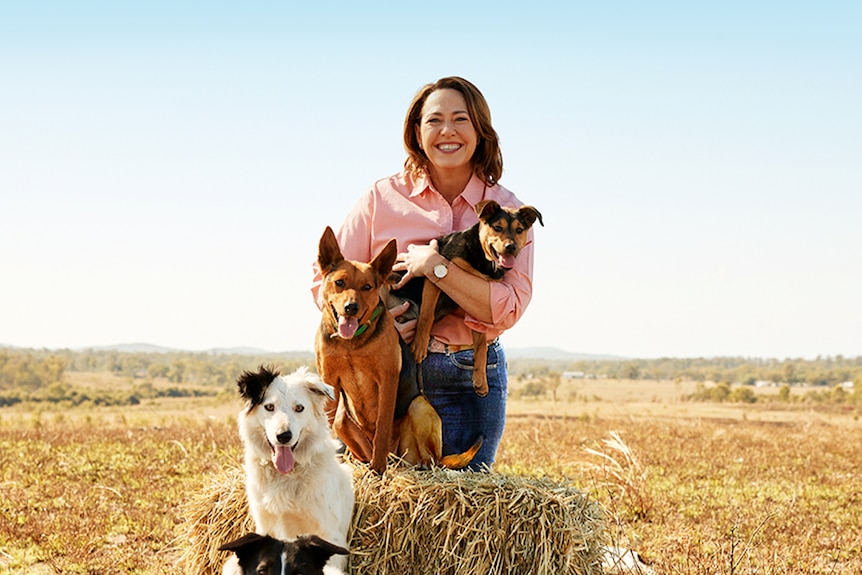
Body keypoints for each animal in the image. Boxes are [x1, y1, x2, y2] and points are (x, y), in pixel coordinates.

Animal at [233, 366, 354, 572]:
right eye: (269, 407)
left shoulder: (329, 534)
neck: (287, 476)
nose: (284, 436)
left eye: (299, 408)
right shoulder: (266, 525)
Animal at [316, 227, 482, 474]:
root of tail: (397, 459)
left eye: (367, 287)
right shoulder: (329, 381)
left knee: (428, 457)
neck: (352, 343)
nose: (351, 308)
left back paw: (415, 464)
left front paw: (378, 470)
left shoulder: (387, 379)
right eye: (339, 283)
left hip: (418, 406)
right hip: (342, 420)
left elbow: (382, 431)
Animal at [408, 201, 544, 396]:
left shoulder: (478, 299)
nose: (510, 247)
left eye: (519, 230)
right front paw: (419, 346)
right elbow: (426, 315)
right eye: (497, 227)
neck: (484, 257)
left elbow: (480, 347)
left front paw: (480, 380)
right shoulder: (433, 276)